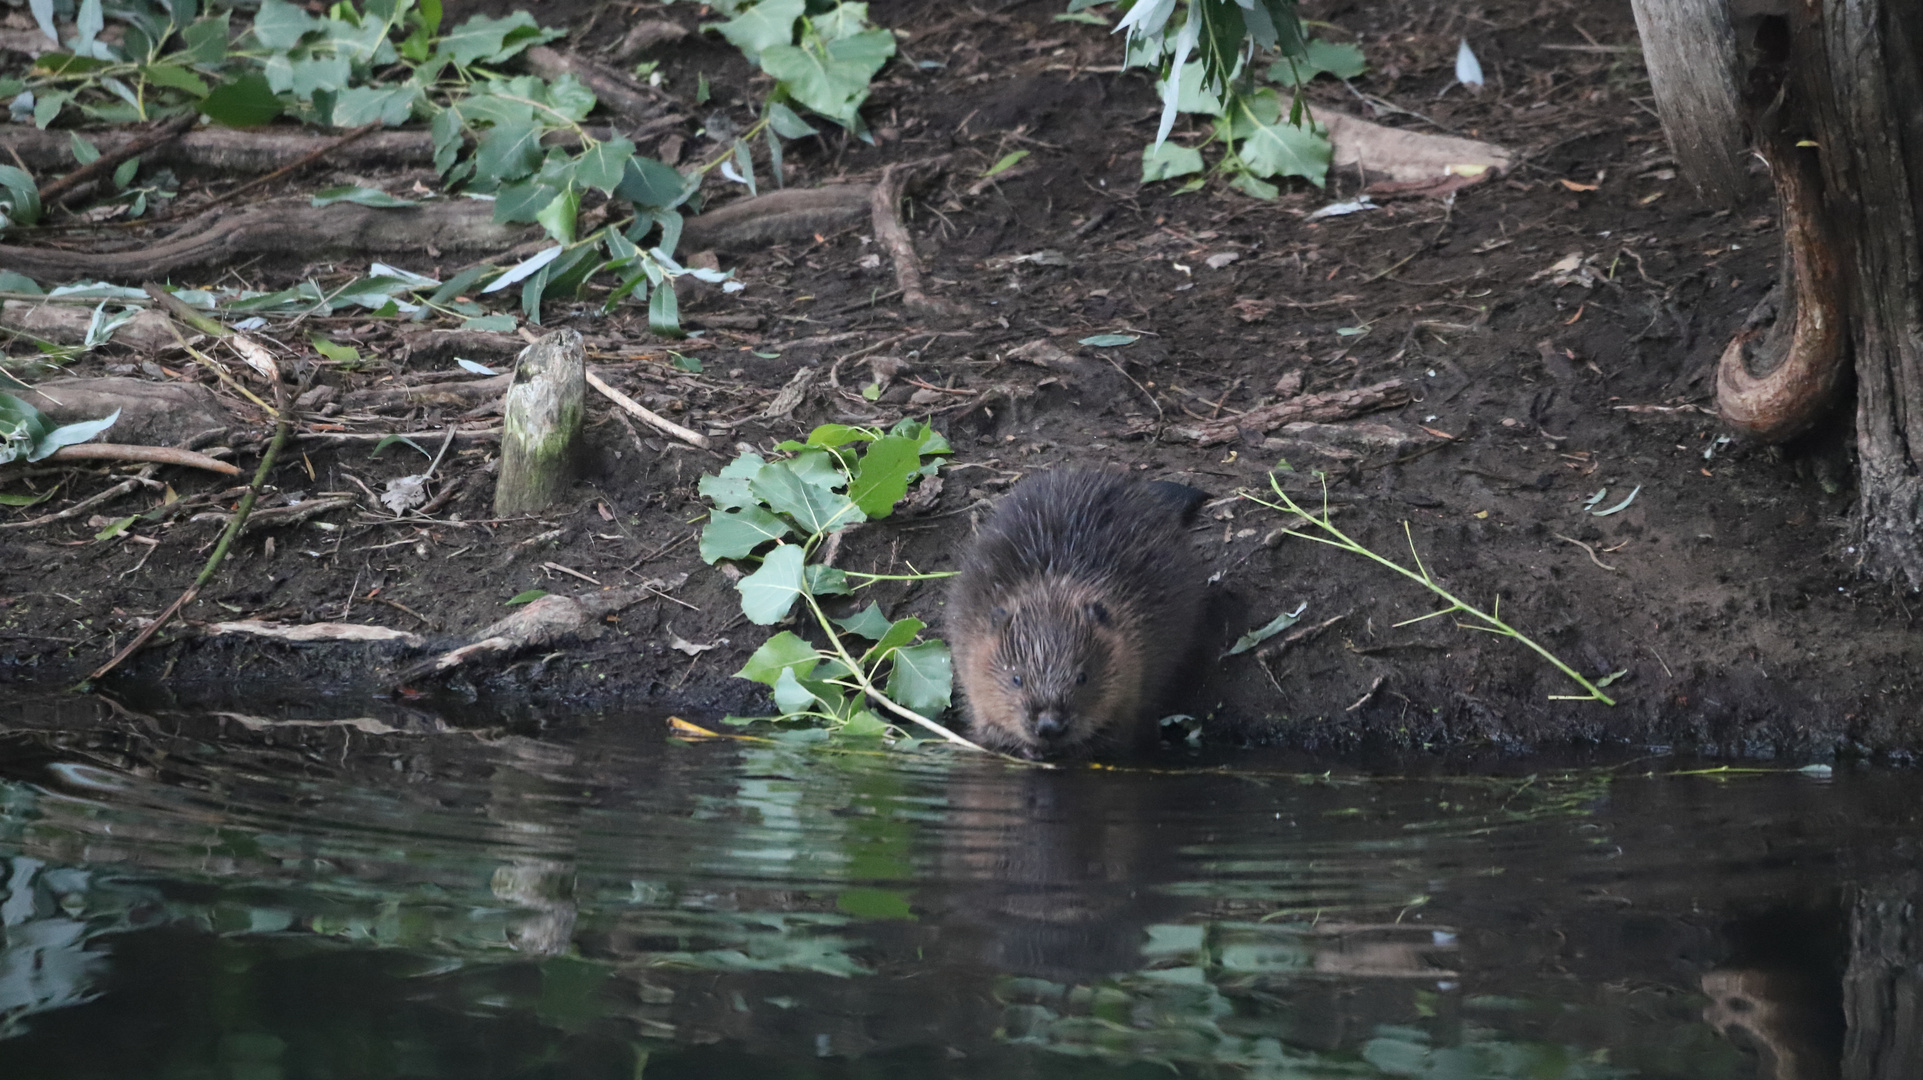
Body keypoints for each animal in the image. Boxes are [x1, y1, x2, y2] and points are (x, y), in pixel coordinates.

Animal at [953, 465, 1207, 757]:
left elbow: (1118, 732)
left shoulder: (1133, 671)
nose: (1049, 725)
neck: (1052, 586)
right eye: (1016, 678)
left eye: (1082, 677)